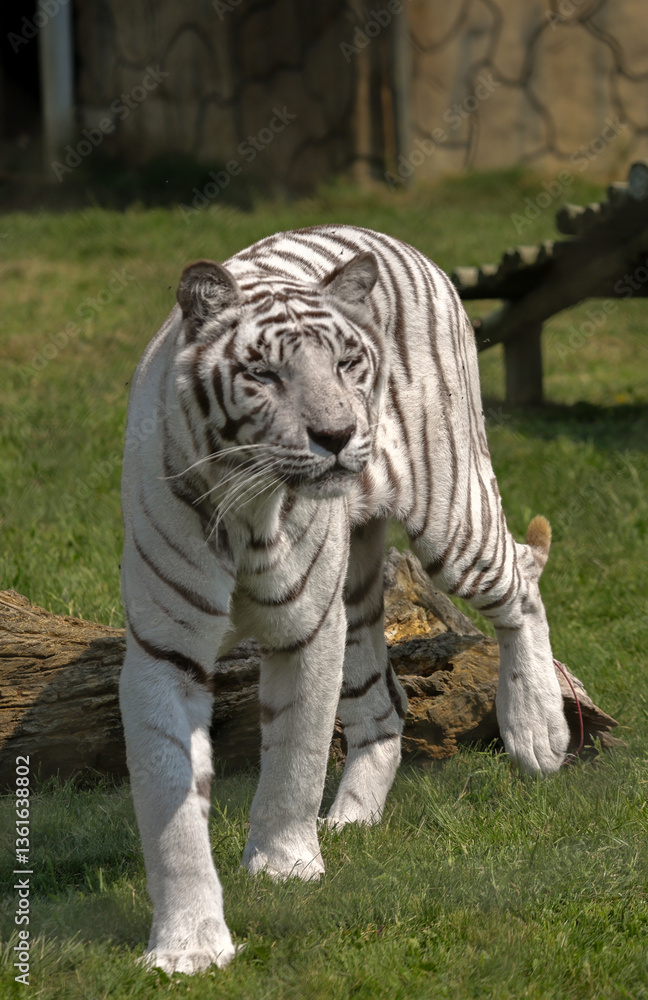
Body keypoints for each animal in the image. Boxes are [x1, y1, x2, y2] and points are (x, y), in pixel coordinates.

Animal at [119, 223, 569, 975]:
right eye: (263, 375)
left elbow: (296, 757)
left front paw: (282, 865)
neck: (250, 513)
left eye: (346, 363)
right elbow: (170, 807)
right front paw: (188, 946)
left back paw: (538, 734)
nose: (335, 438)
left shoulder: (306, 630)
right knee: (386, 703)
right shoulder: (164, 650)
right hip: (357, 597)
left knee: (522, 587)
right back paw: (352, 818)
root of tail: (385, 235)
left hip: (453, 521)